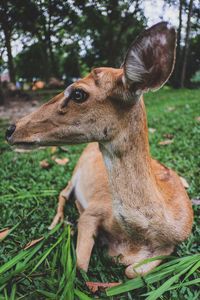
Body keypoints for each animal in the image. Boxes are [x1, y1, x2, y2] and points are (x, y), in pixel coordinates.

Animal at [6, 22, 193, 278]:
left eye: (78, 93)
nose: (10, 129)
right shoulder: (93, 211)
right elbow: (81, 265)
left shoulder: (173, 244)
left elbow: (132, 271)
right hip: (75, 171)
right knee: (63, 193)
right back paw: (58, 223)